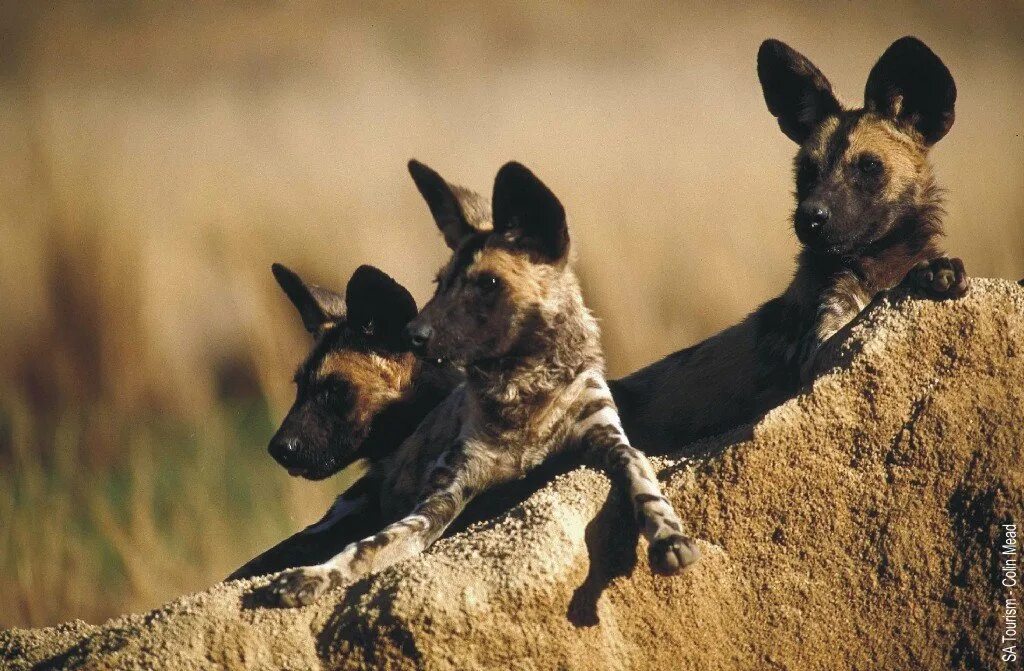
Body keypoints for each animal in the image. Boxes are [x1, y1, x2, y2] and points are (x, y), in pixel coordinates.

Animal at [260, 161, 700, 610]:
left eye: (487, 283)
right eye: (439, 284)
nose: (277, 449)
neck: (525, 391)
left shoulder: (613, 441)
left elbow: (643, 480)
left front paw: (668, 534)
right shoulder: (438, 501)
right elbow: (367, 547)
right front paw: (316, 575)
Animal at [610, 38, 970, 456]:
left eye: (868, 167)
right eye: (807, 172)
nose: (809, 216)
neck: (878, 266)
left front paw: (938, 272)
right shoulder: (823, 353)